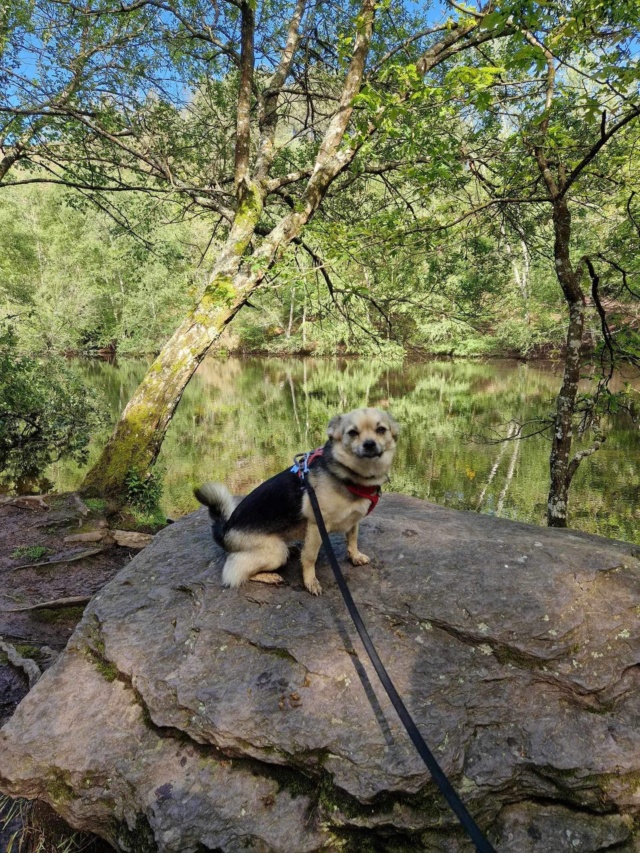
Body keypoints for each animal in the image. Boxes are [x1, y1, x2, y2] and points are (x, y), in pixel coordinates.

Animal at [192, 408, 398, 596]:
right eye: (353, 432)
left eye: (381, 429)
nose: (369, 444)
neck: (352, 475)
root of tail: (224, 529)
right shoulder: (317, 525)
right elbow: (310, 556)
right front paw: (310, 581)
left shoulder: (353, 521)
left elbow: (352, 539)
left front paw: (354, 556)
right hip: (275, 552)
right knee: (234, 574)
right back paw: (268, 576)